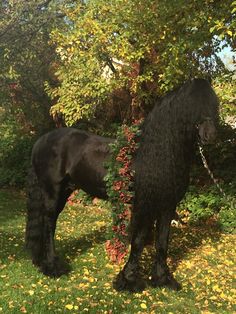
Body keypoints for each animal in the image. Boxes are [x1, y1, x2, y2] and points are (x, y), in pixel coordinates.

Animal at [24, 78, 218, 292]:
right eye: (189, 107)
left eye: (213, 105)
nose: (210, 135)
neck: (155, 154)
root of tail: (41, 141)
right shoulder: (144, 205)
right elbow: (139, 241)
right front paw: (129, 280)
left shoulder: (167, 206)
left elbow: (162, 243)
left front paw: (163, 279)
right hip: (52, 191)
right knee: (49, 222)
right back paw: (53, 266)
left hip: (64, 191)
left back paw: (42, 261)